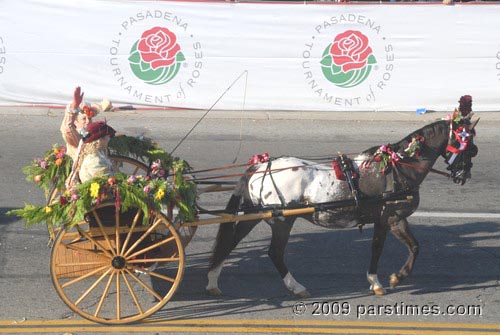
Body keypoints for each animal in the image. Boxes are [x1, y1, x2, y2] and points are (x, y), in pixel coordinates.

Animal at [206, 114, 476, 298]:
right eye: (470, 147)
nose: (464, 176)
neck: (396, 167)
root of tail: (262, 165)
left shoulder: (389, 220)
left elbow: (395, 248)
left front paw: (385, 279)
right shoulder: (390, 217)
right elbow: (399, 248)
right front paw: (389, 279)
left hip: (255, 214)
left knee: (230, 243)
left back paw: (213, 280)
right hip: (282, 220)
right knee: (275, 252)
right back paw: (297, 287)